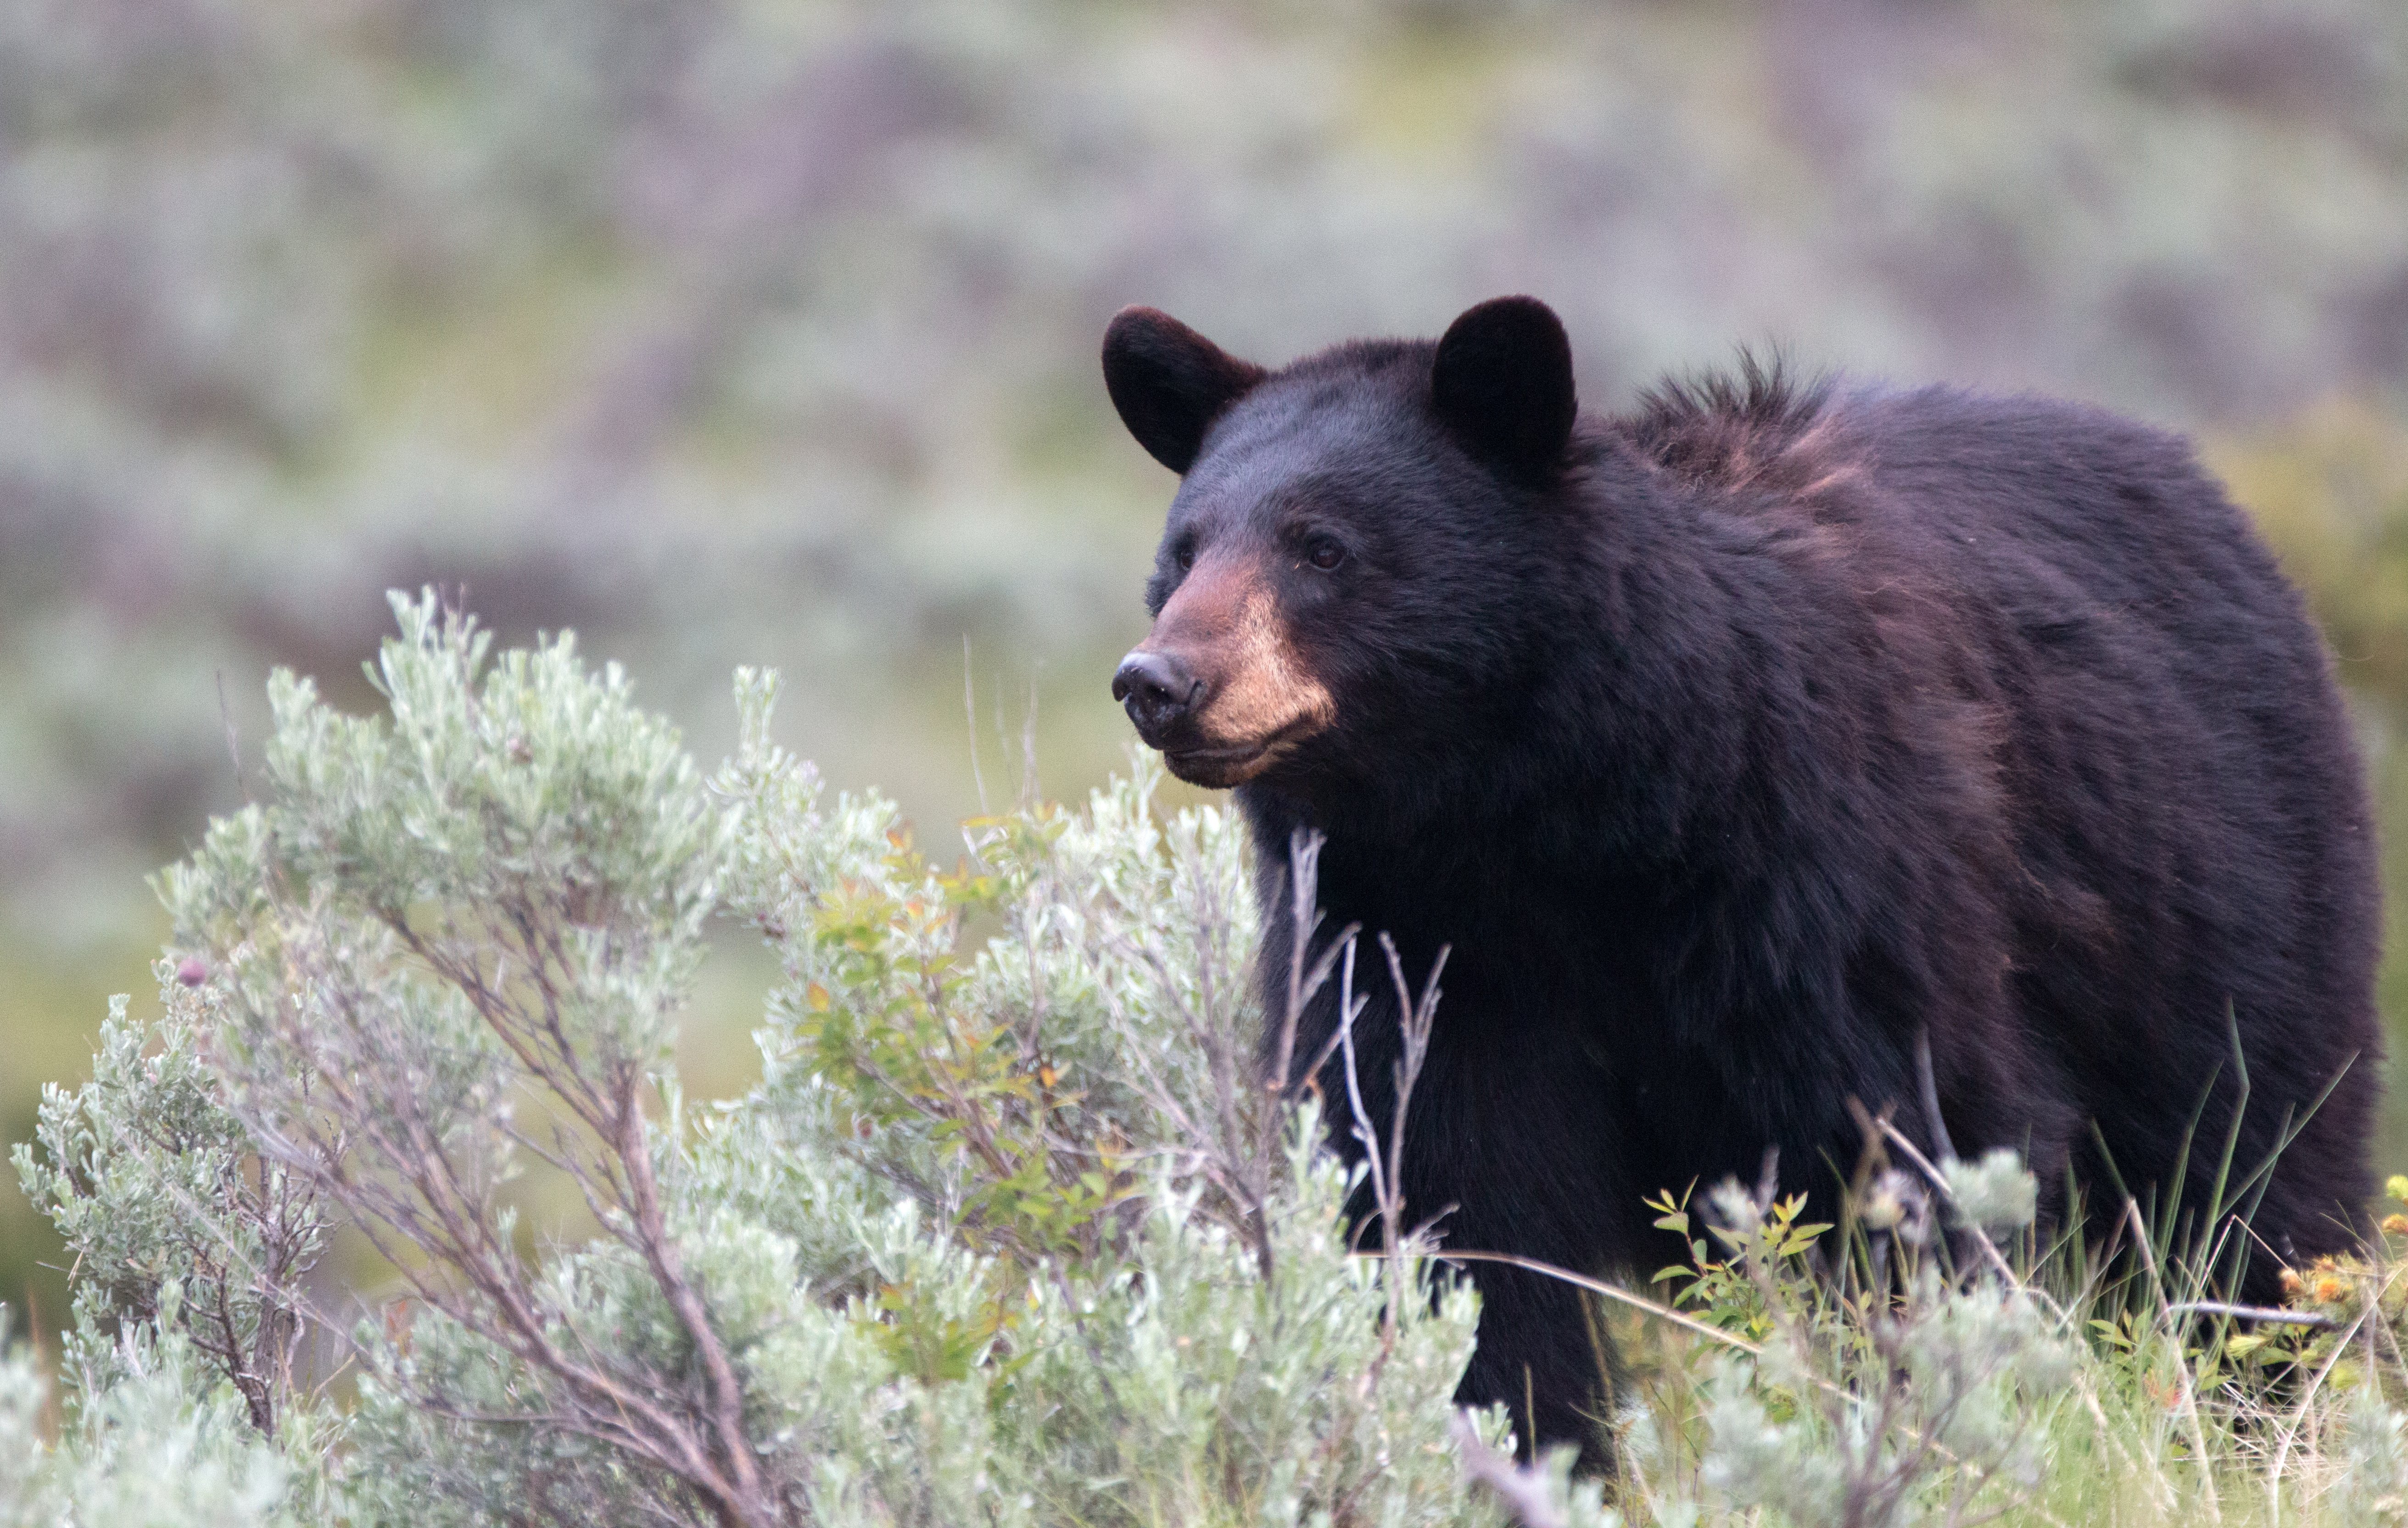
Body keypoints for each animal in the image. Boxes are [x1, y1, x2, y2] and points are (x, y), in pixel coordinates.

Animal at [1100, 295, 2383, 1466]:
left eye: (1322, 546)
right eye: (1184, 549)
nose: (1160, 681)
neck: (1547, 823)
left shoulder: (1827, 876)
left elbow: (1908, 1148)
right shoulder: (1408, 941)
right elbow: (1453, 1210)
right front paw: (1520, 1447)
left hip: (2225, 886)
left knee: (2252, 1172)